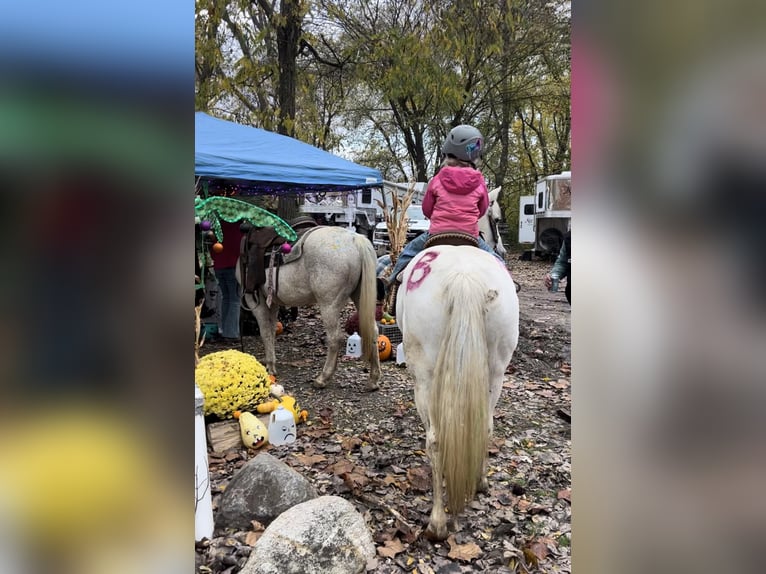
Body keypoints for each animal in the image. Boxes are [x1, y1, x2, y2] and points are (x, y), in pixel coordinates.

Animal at [240, 227, 380, 394]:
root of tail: (355, 239)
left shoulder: (256, 302)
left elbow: (265, 332)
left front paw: (270, 366)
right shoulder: (272, 303)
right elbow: (272, 330)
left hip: (329, 305)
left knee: (335, 338)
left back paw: (322, 378)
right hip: (359, 297)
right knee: (373, 331)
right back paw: (373, 380)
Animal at [396, 246, 520, 540]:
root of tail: (464, 279)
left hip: (425, 376)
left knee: (435, 440)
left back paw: (437, 522)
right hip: (496, 371)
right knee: (486, 426)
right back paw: (480, 482)